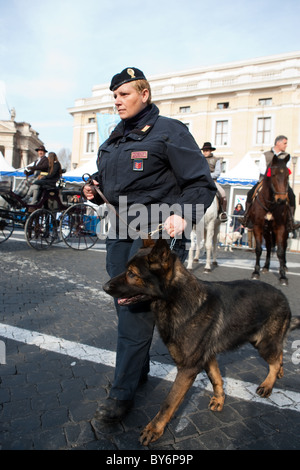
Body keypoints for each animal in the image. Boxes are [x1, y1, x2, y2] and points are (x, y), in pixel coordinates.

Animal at [103, 239, 300, 444]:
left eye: (132, 274)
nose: (104, 287)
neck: (176, 298)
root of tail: (283, 296)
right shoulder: (208, 357)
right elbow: (216, 378)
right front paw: (220, 399)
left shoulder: (188, 368)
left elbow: (169, 402)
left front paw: (154, 428)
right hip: (261, 341)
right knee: (279, 353)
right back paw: (280, 372)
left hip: (264, 344)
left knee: (274, 361)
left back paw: (268, 385)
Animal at [248, 156, 290, 284]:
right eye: (274, 175)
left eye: (287, 175)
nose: (281, 200)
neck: (270, 205)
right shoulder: (257, 227)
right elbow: (258, 249)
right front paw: (256, 272)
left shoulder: (280, 228)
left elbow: (280, 251)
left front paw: (283, 276)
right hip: (267, 231)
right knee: (269, 245)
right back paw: (266, 266)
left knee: (283, 246)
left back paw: (284, 266)